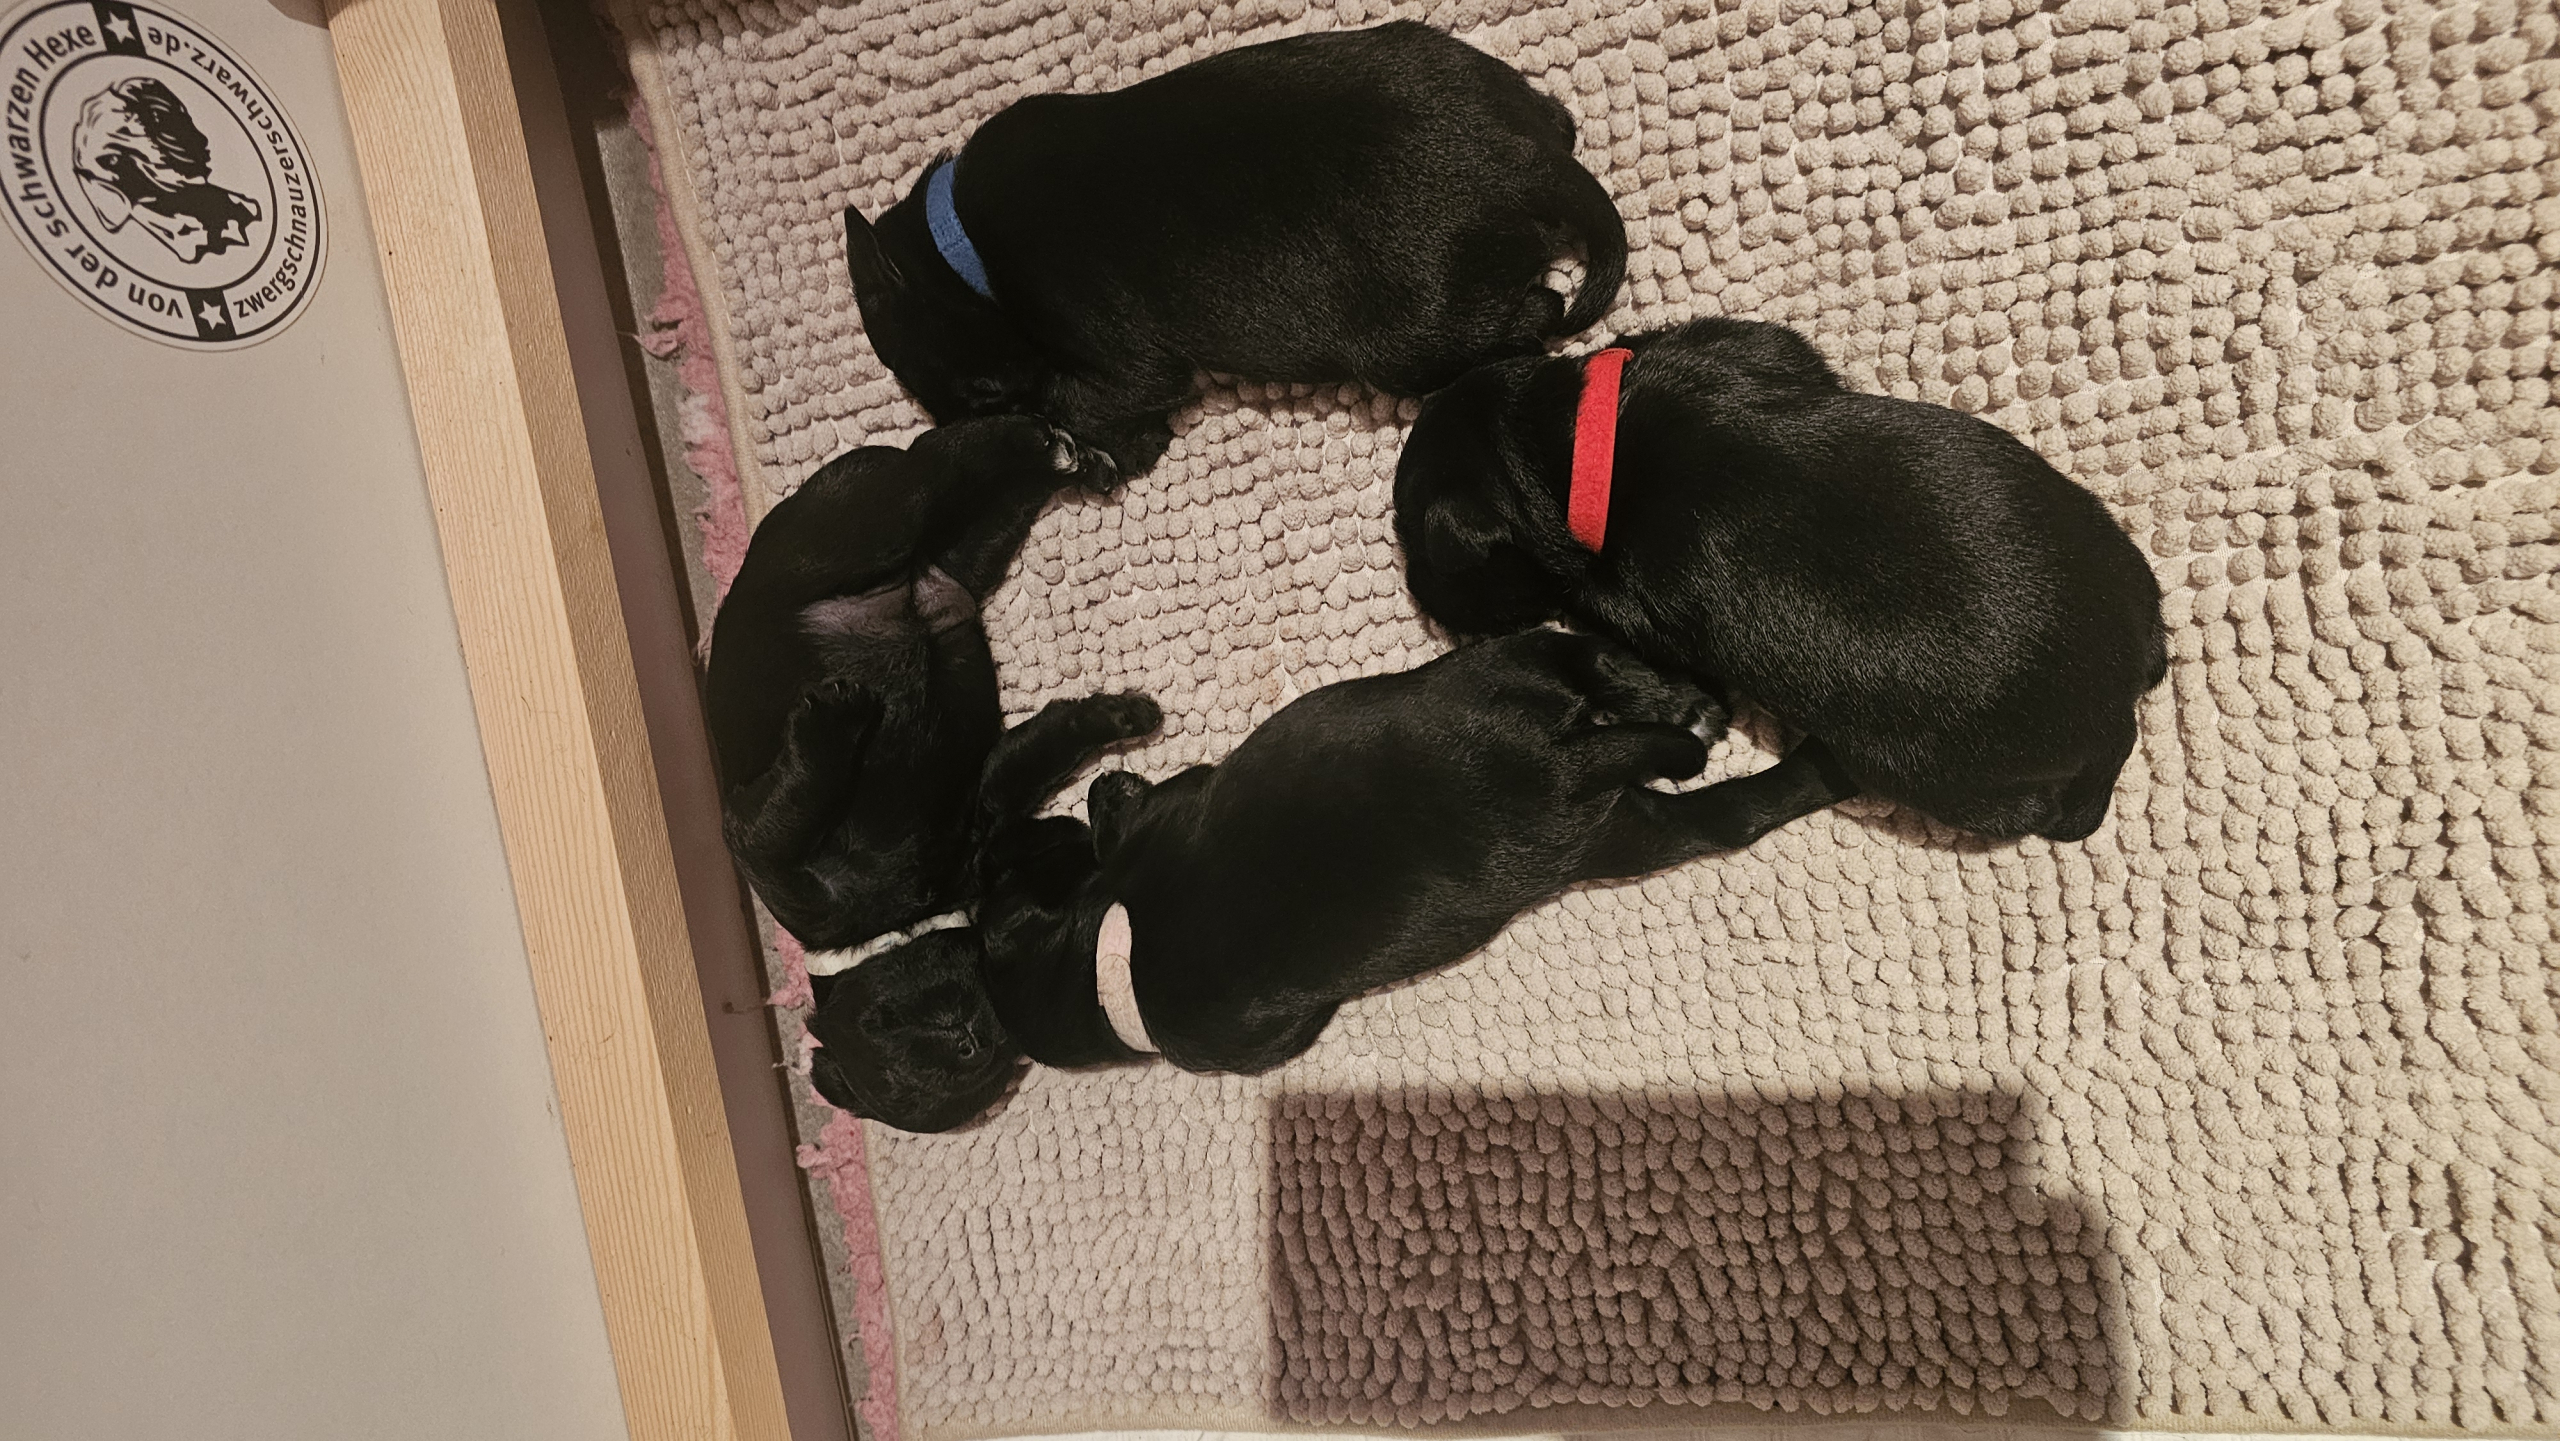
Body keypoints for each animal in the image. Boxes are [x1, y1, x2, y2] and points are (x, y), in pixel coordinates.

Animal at [704, 415, 1107, 956]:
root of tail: (914, 583)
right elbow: (794, 804)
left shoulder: (783, 868)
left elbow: (795, 805)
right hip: (936, 542)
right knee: (977, 481)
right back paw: (1061, 455)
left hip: (869, 518)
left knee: (939, 456)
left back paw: (1049, 444)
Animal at [841, 20, 1627, 478]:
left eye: (981, 396)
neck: (961, 249)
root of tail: (1521, 159)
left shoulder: (1122, 355)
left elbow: (1085, 393)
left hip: (1412, 341)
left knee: (1536, 310)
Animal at [1393, 317, 2167, 845]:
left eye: (1410, 533)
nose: (1421, 597)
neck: (1578, 447)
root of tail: (2112, 714)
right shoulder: (1753, 344)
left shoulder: (1637, 607)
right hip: (2113, 547)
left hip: (1932, 772)